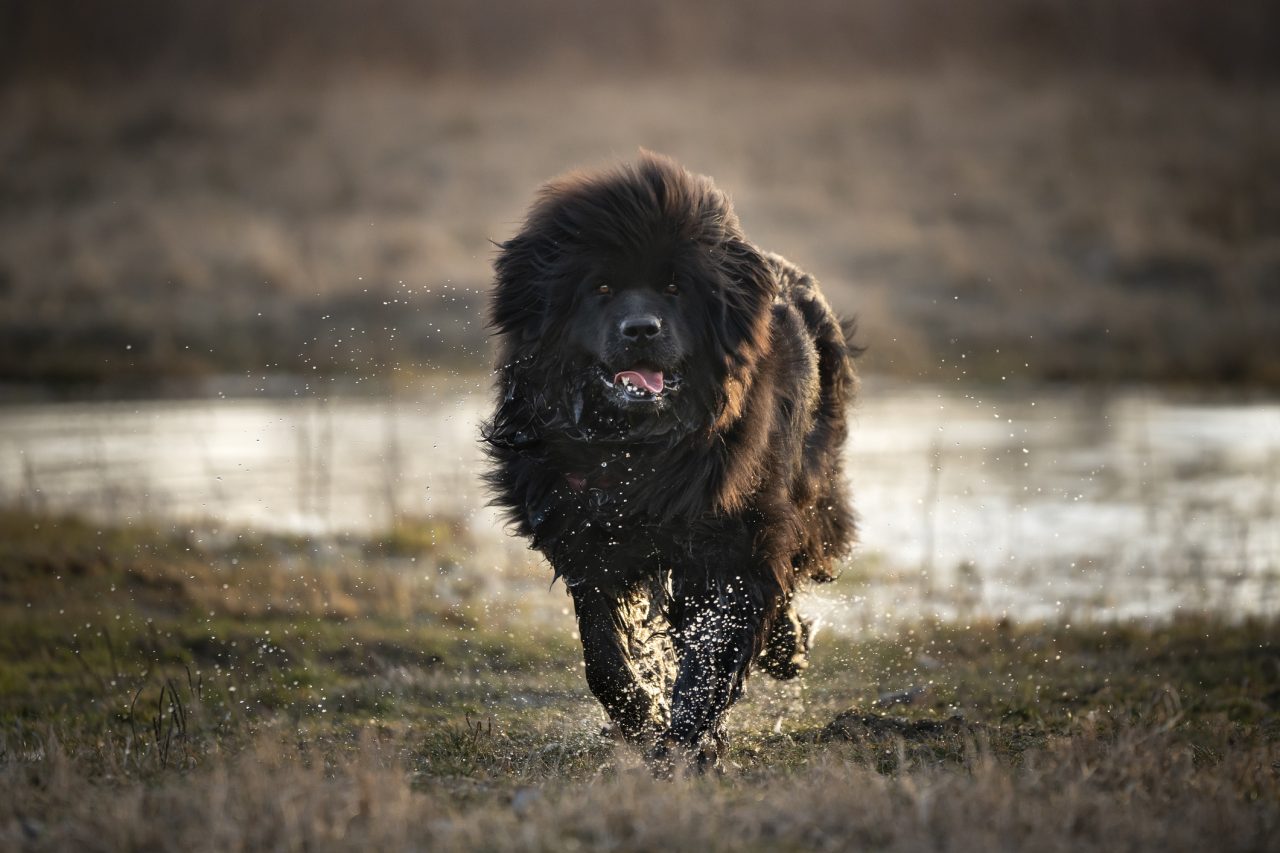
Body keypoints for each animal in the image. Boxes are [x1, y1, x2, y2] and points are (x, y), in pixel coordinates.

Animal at [483, 153, 855, 768]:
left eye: (676, 288)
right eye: (601, 287)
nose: (641, 329)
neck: (638, 449)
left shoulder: (737, 537)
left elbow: (715, 649)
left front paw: (687, 742)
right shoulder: (586, 536)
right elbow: (603, 655)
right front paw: (642, 719)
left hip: (808, 484)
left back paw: (788, 648)